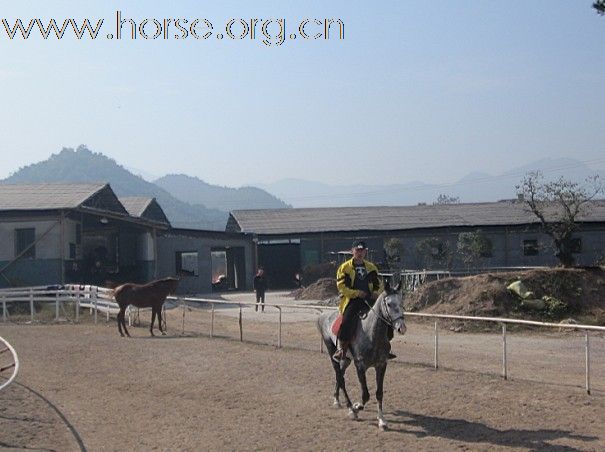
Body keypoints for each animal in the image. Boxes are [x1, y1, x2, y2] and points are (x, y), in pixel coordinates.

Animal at [316, 278, 406, 430]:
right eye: (389, 304)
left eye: (401, 302)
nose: (402, 328)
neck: (371, 334)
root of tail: (323, 316)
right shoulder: (360, 365)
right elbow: (365, 395)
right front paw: (356, 408)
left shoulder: (381, 365)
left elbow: (379, 393)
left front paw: (381, 420)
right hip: (331, 352)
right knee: (340, 378)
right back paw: (349, 406)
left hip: (346, 359)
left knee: (340, 375)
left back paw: (337, 399)